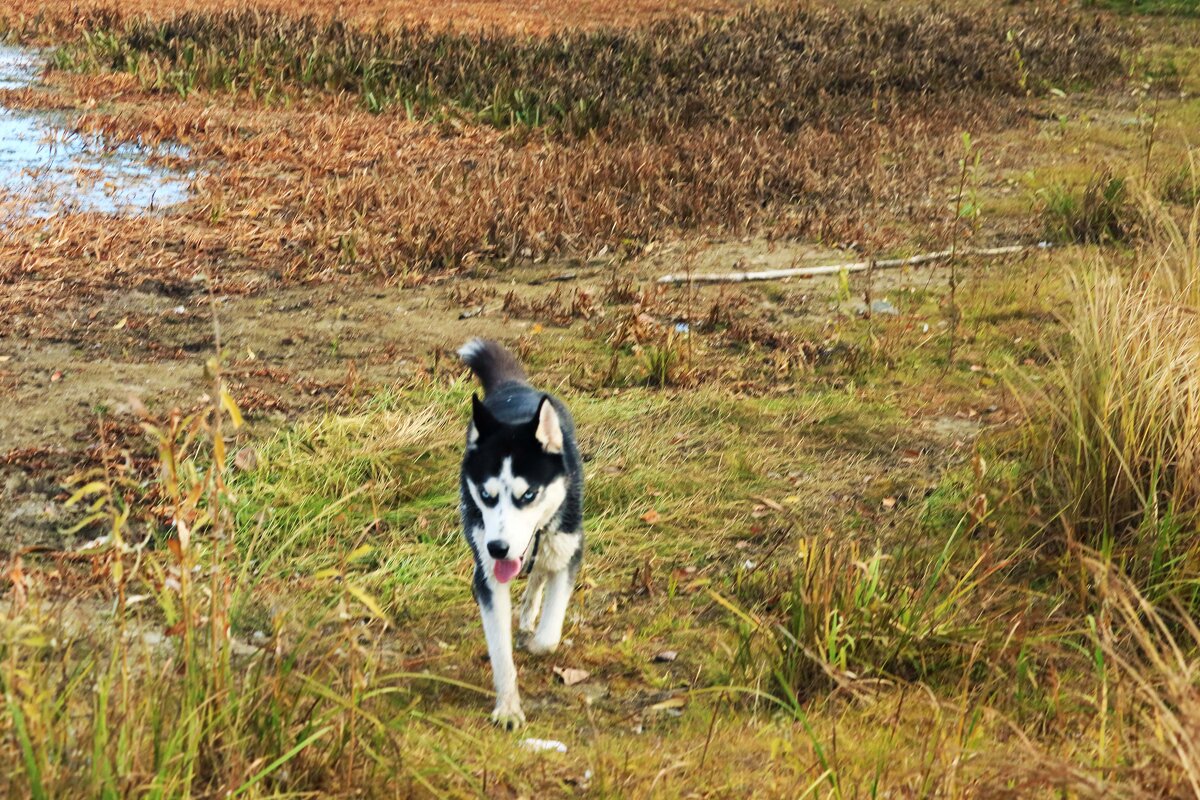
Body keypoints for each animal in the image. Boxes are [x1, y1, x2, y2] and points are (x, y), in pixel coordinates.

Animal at [456, 335, 583, 729]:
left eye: (528, 495)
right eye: (486, 495)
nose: (498, 548)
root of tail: (513, 388)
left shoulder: (570, 551)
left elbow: (550, 635)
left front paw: (535, 640)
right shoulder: (487, 578)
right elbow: (500, 653)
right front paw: (508, 707)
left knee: (541, 572)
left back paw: (529, 612)